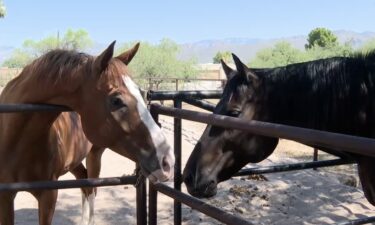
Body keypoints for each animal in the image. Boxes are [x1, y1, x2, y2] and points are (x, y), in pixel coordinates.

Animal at [0, 41, 175, 224]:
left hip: (94, 155)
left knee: (91, 189)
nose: (167, 161)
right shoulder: (5, 197)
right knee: (83, 182)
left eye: (141, 93)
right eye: (116, 100)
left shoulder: (48, 195)